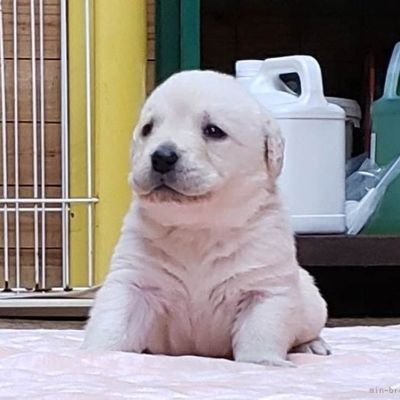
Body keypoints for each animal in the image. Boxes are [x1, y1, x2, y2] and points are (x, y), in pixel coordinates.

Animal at [83, 69, 330, 366]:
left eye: (213, 131)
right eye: (148, 129)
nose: (162, 156)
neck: (198, 228)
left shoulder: (265, 287)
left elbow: (260, 332)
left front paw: (263, 362)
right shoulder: (133, 280)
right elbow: (113, 322)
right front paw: (98, 354)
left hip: (312, 302)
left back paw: (312, 345)